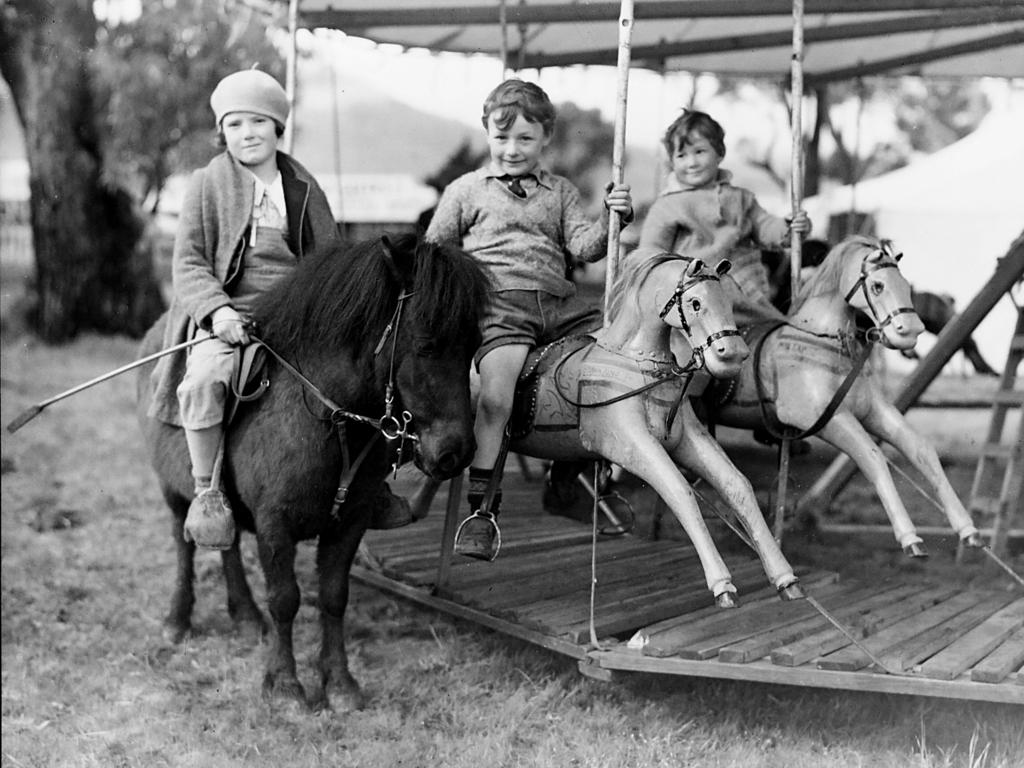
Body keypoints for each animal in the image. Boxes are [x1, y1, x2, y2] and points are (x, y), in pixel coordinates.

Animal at [135, 234, 491, 716]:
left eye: (473, 345)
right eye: (427, 345)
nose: (456, 452)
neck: (327, 417)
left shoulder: (349, 522)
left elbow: (334, 596)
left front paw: (339, 682)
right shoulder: (275, 525)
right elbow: (285, 599)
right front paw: (286, 685)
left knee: (227, 544)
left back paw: (245, 616)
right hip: (173, 491)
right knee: (183, 544)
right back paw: (177, 619)